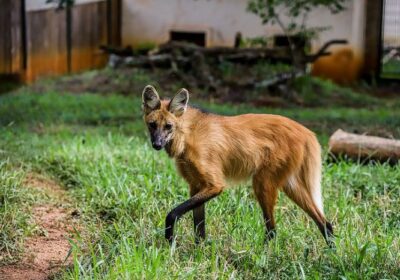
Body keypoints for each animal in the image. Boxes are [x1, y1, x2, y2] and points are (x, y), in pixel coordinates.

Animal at [142, 85, 332, 245]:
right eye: (152, 125)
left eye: (168, 126)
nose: (157, 144)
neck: (187, 136)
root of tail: (307, 132)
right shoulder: (196, 185)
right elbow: (199, 227)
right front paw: (199, 252)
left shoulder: (215, 185)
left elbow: (173, 214)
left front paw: (170, 242)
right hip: (289, 184)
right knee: (325, 222)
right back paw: (331, 254)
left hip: (262, 183)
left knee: (272, 230)